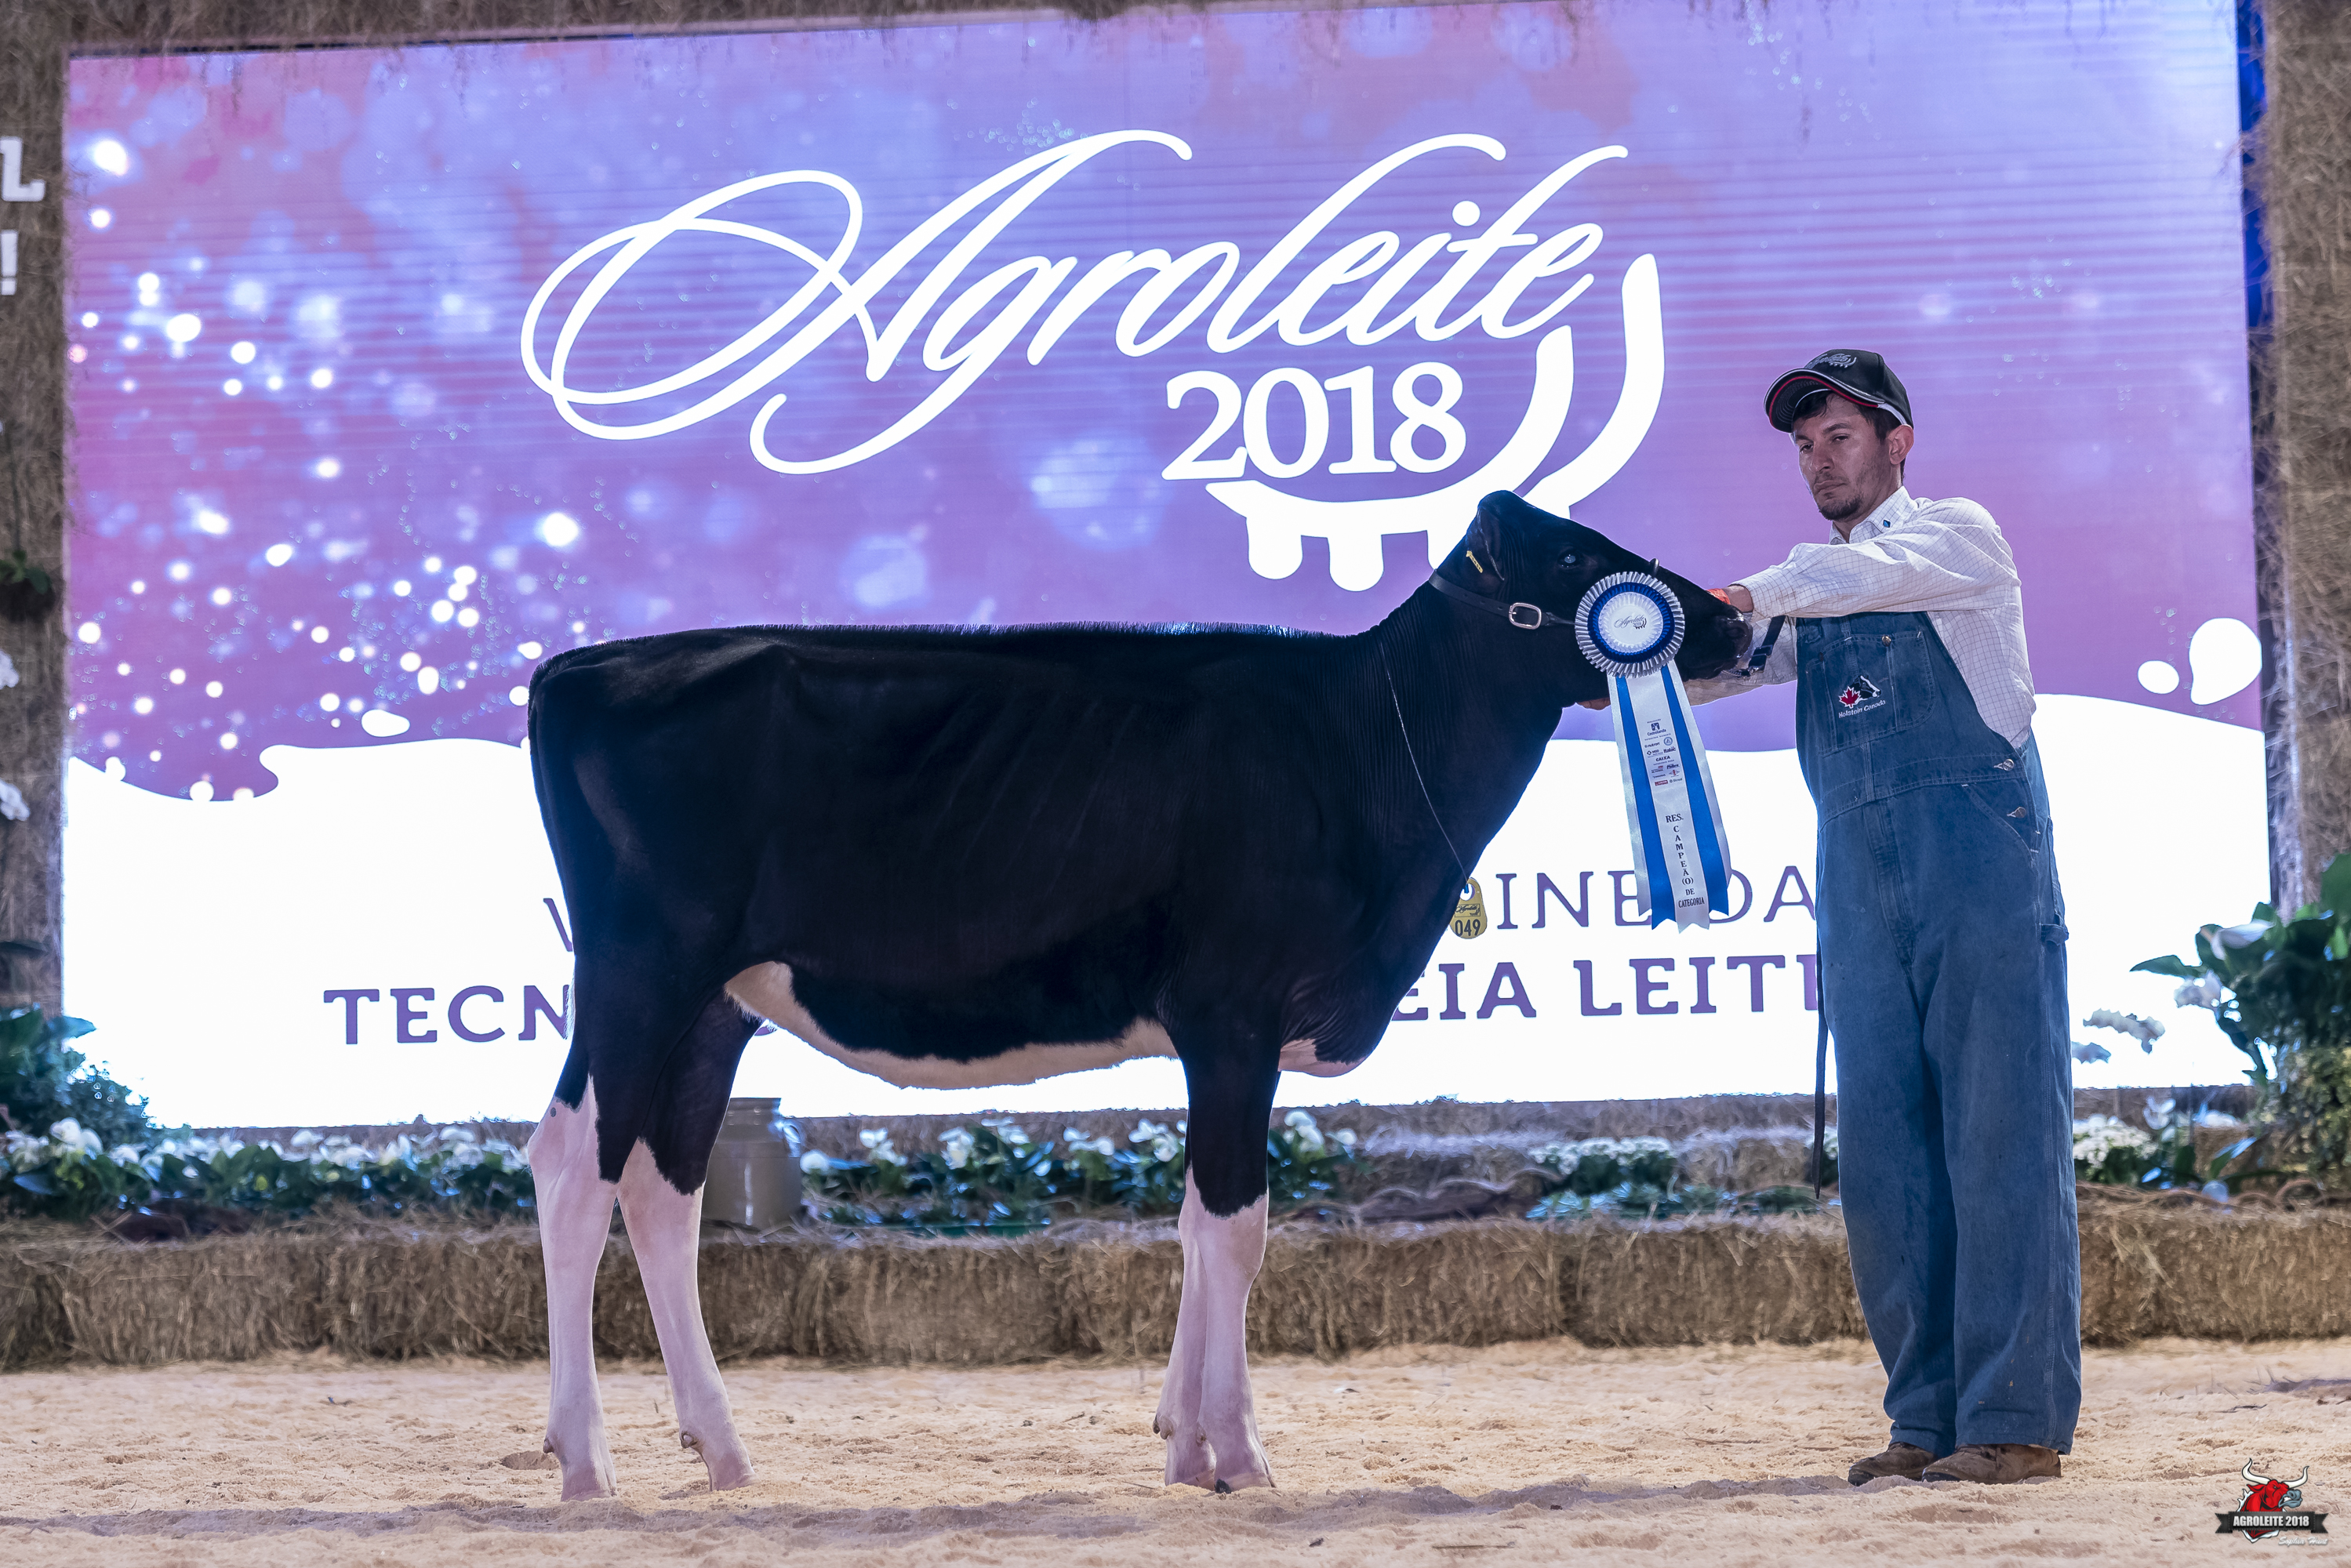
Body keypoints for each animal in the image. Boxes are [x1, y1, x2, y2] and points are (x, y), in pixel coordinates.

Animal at [521, 489, 1749, 1500]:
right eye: (1578, 555)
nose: (1736, 622)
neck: (1362, 744)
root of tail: (582, 668)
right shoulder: (1233, 1016)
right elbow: (1237, 1226)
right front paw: (1236, 1454)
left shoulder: (1219, 1037)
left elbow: (1197, 1223)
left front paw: (1182, 1440)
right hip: (642, 967)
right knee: (574, 1170)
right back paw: (585, 1462)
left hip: (713, 1003)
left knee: (662, 1189)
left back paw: (722, 1451)